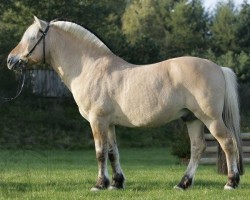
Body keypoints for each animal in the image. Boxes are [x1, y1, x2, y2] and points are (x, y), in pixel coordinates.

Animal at [6, 16, 243, 191]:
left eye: (32, 37)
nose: (10, 60)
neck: (91, 68)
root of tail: (218, 67)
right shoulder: (109, 123)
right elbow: (113, 152)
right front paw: (116, 183)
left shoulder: (97, 121)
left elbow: (100, 152)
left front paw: (100, 184)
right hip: (191, 118)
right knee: (197, 148)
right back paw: (182, 184)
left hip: (210, 119)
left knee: (227, 143)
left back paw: (231, 183)